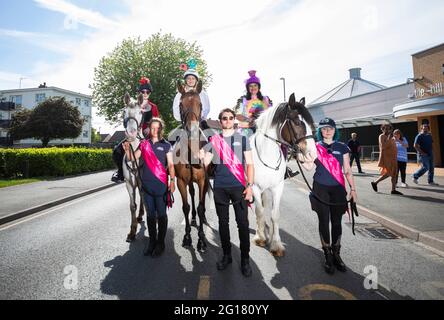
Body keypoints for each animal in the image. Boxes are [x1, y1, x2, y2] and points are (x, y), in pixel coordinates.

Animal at [251, 92, 318, 255]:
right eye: (297, 122)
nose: (312, 155)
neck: (267, 155)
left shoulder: (277, 187)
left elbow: (274, 214)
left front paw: (276, 244)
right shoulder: (255, 187)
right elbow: (259, 211)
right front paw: (260, 238)